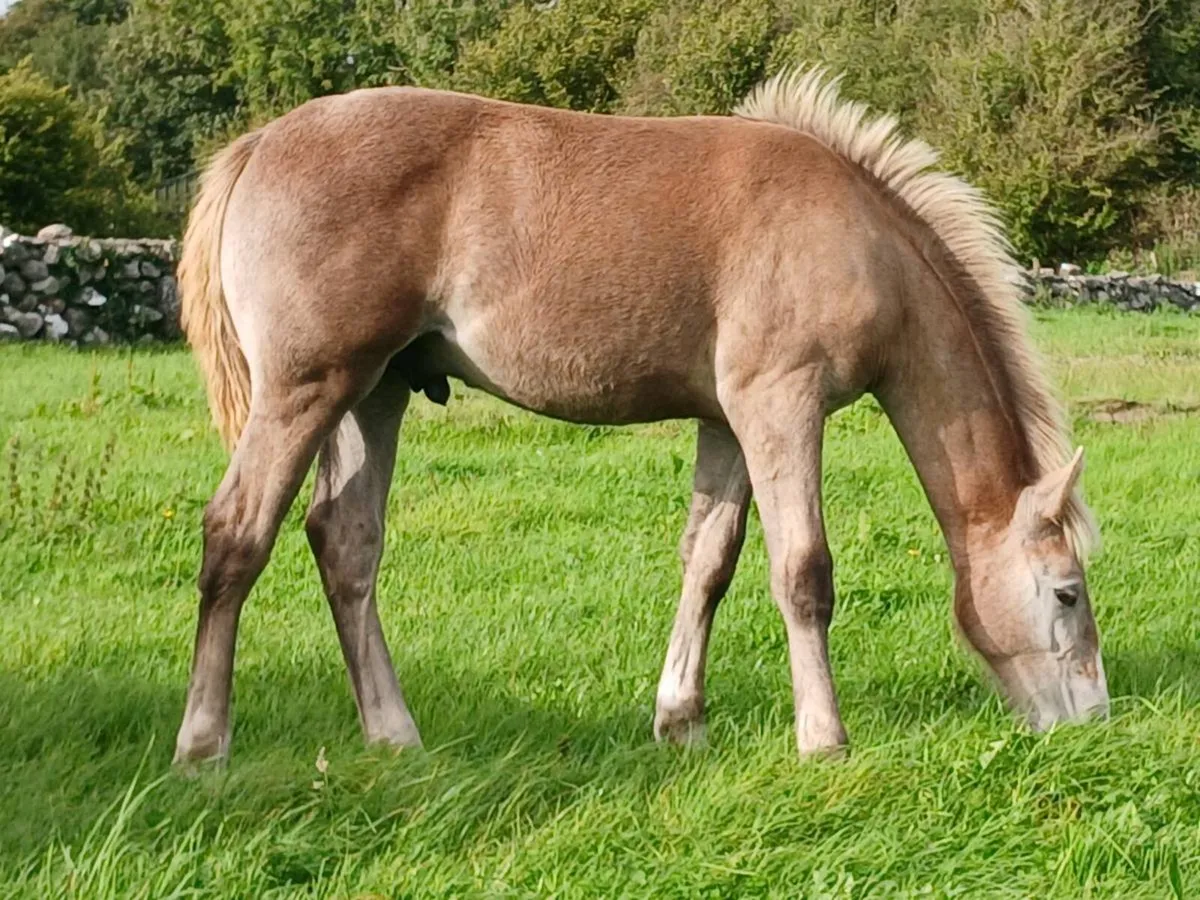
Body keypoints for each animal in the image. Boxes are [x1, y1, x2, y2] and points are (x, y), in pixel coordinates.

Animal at [173, 69, 1108, 765]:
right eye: (1067, 593)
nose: (1094, 720)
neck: (860, 236)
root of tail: (258, 145)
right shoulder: (782, 403)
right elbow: (803, 571)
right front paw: (824, 739)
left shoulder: (729, 420)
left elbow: (711, 562)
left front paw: (680, 721)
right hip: (304, 390)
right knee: (236, 535)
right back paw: (203, 745)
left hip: (375, 391)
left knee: (345, 543)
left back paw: (394, 735)